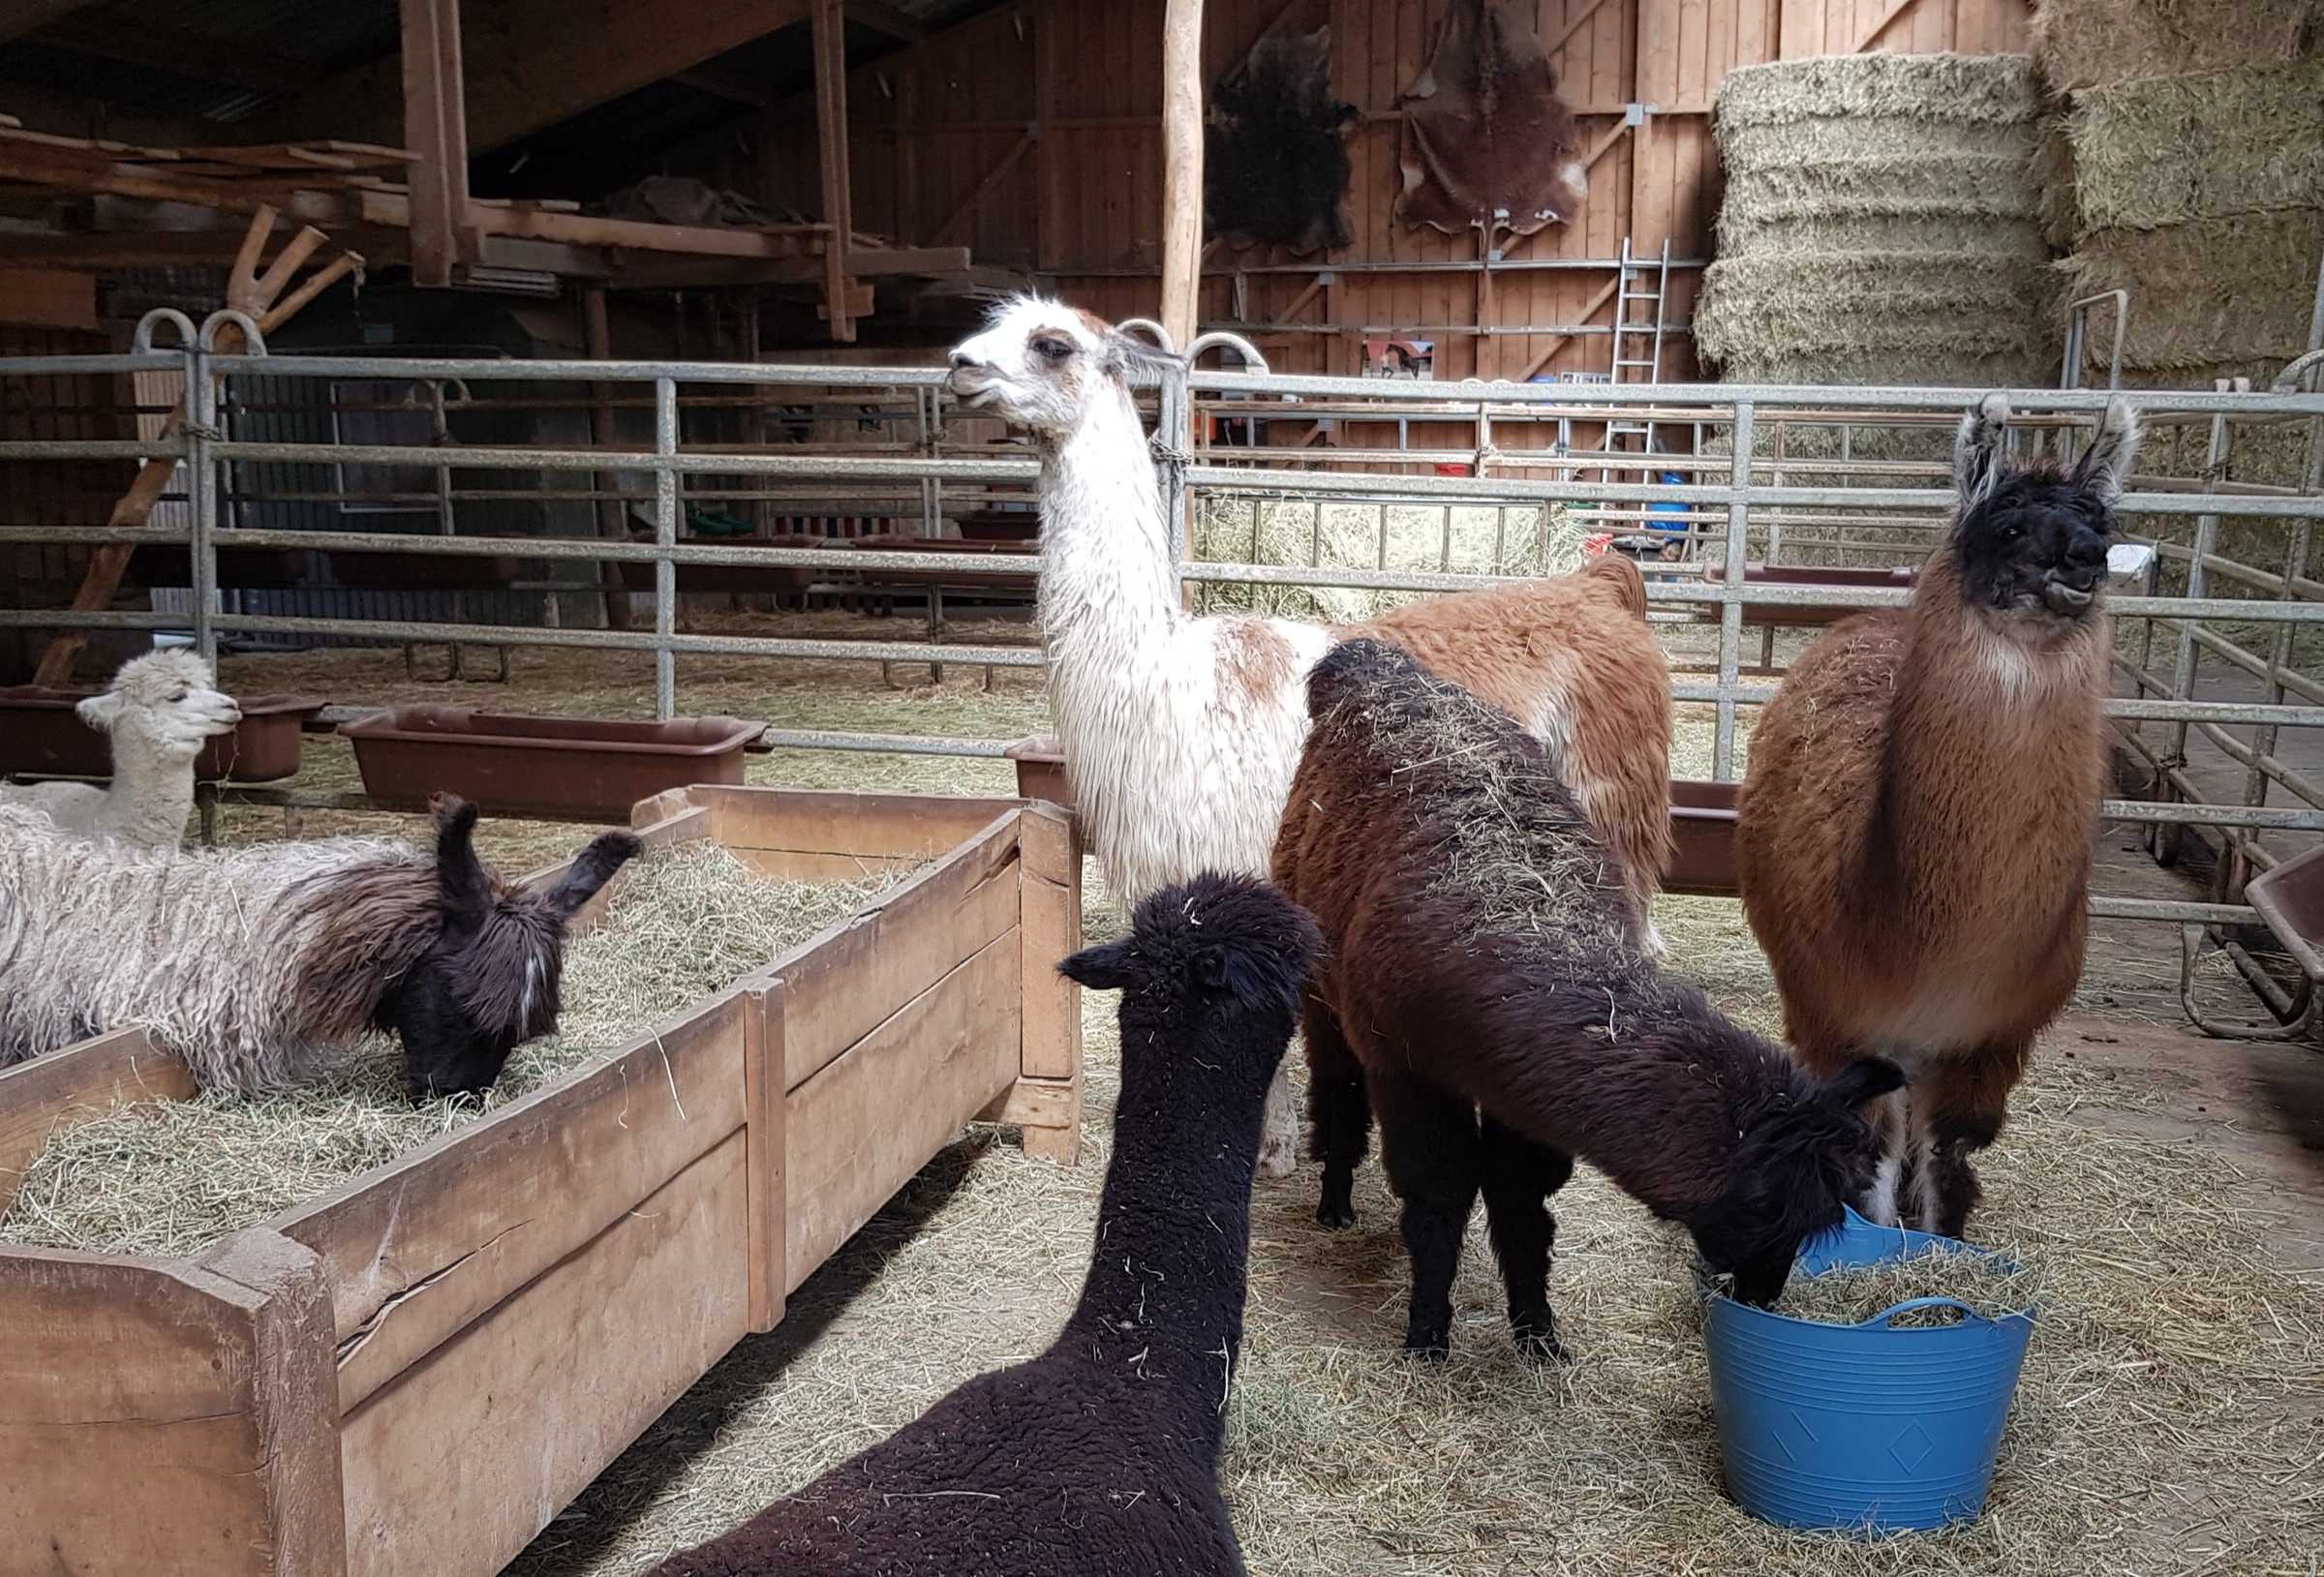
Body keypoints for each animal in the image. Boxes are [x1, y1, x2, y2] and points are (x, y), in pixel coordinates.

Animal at [947, 295, 1672, 1177]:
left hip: (1615, 801)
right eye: (990, 326)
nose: (959, 366)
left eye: (1051, 344)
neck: (1168, 678)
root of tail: (1599, 587)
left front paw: (1272, 1146)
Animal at [1273, 639, 1902, 1354]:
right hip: (1325, 983)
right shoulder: (1407, 1063)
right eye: (1764, 1207)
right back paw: (1335, 1203)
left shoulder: (1518, 1092)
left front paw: (1539, 1335)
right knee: (1339, 1085)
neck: (1522, 914)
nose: (1761, 1292)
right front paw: (1428, 1333)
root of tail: (1371, 661)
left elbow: (1520, 1202)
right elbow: (1439, 1194)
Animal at [1735, 394, 2141, 1238]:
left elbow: (1951, 1154)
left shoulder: (1992, 1040)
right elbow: (1874, 1151)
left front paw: (1939, 1242)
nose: (2083, 558)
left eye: (2103, 522)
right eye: (2006, 526)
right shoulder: (1838, 1014)